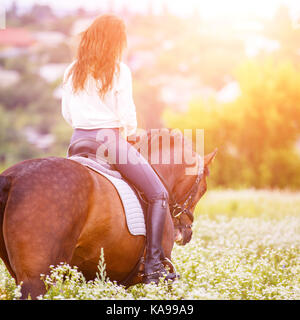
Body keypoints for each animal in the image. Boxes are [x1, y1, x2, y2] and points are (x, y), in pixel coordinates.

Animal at [0, 129, 216, 298]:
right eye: (203, 190)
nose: (186, 234)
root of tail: (13, 177)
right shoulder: (163, 279)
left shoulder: (111, 280)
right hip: (37, 279)